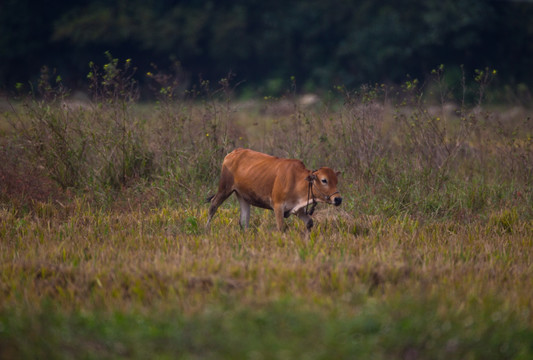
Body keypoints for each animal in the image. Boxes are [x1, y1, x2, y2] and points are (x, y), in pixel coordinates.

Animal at [206, 148, 342, 231]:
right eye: (324, 180)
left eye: (336, 181)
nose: (338, 199)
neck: (297, 181)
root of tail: (233, 152)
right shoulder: (278, 206)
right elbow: (281, 228)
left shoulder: (298, 209)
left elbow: (309, 223)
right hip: (224, 189)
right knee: (213, 206)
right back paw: (206, 229)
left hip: (243, 196)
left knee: (244, 221)